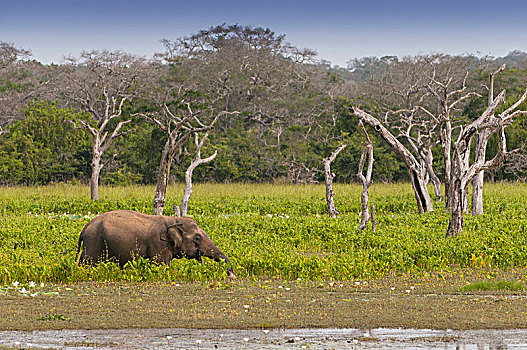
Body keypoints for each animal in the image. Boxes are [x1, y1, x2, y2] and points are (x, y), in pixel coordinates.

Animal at [75, 211, 236, 278]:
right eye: (197, 237)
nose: (230, 274)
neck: (173, 220)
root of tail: (85, 227)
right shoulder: (157, 244)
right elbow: (162, 266)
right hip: (94, 243)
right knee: (88, 264)